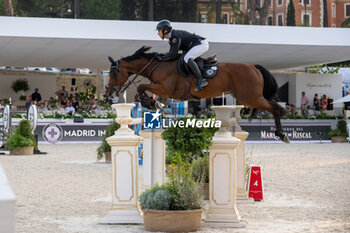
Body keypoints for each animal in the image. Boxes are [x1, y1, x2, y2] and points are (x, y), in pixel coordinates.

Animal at [108, 46, 288, 143]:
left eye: (113, 74)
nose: (110, 95)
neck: (157, 65)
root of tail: (254, 67)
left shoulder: (165, 88)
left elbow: (141, 87)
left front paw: (149, 102)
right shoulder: (164, 91)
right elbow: (146, 92)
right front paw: (153, 103)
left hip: (250, 97)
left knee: (275, 108)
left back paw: (281, 134)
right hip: (249, 97)